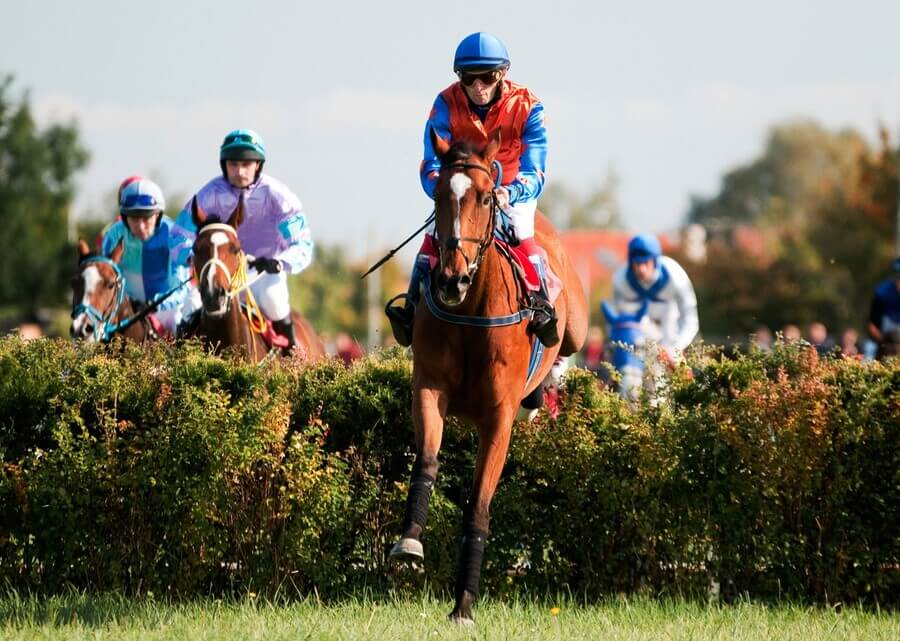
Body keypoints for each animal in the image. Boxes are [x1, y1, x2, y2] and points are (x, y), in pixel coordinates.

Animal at [388, 132, 588, 624]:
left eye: (483, 196)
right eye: (439, 196)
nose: (451, 279)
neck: (472, 310)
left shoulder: (498, 417)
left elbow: (478, 504)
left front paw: (463, 603)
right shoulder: (429, 389)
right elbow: (426, 461)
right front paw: (409, 541)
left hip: (576, 325)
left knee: (566, 346)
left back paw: (545, 388)